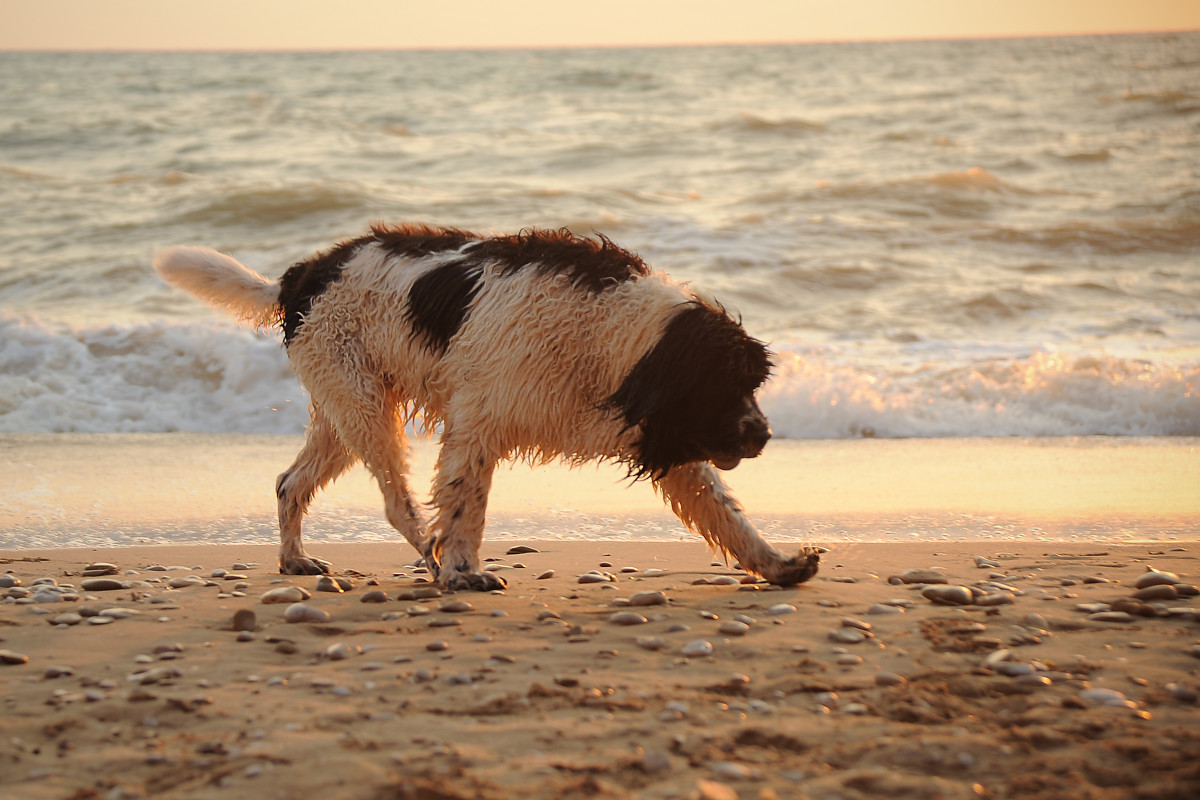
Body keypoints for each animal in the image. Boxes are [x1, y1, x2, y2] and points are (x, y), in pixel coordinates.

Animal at [154, 221, 820, 592]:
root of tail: (302, 275)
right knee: (397, 503)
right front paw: (463, 570)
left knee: (290, 483)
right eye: (725, 385)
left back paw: (295, 560)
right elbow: (465, 506)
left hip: (344, 410)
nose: (763, 435)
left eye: (751, 384)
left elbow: (728, 515)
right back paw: (430, 558)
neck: (612, 335)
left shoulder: (672, 440)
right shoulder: (478, 422)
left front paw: (778, 564)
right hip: (363, 407)